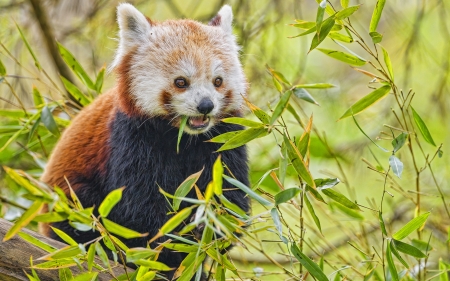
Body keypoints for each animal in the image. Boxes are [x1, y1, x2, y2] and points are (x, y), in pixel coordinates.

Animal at [38, 2, 250, 276]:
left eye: (218, 81)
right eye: (181, 82)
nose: (206, 105)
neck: (183, 138)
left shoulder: (226, 137)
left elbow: (232, 201)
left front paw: (206, 228)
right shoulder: (132, 138)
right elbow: (139, 210)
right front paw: (169, 250)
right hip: (66, 199)